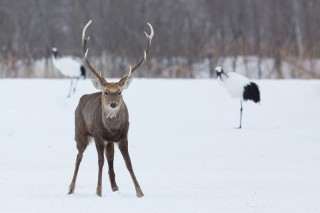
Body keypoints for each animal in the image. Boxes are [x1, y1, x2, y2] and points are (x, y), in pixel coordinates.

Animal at [67, 20, 154, 198]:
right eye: (106, 92)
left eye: (119, 92)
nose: (113, 104)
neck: (112, 129)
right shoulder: (99, 136)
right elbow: (99, 162)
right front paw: (98, 191)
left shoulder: (123, 136)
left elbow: (128, 163)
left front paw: (140, 192)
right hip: (80, 133)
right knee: (79, 157)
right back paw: (70, 188)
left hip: (109, 143)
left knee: (110, 160)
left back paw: (115, 187)